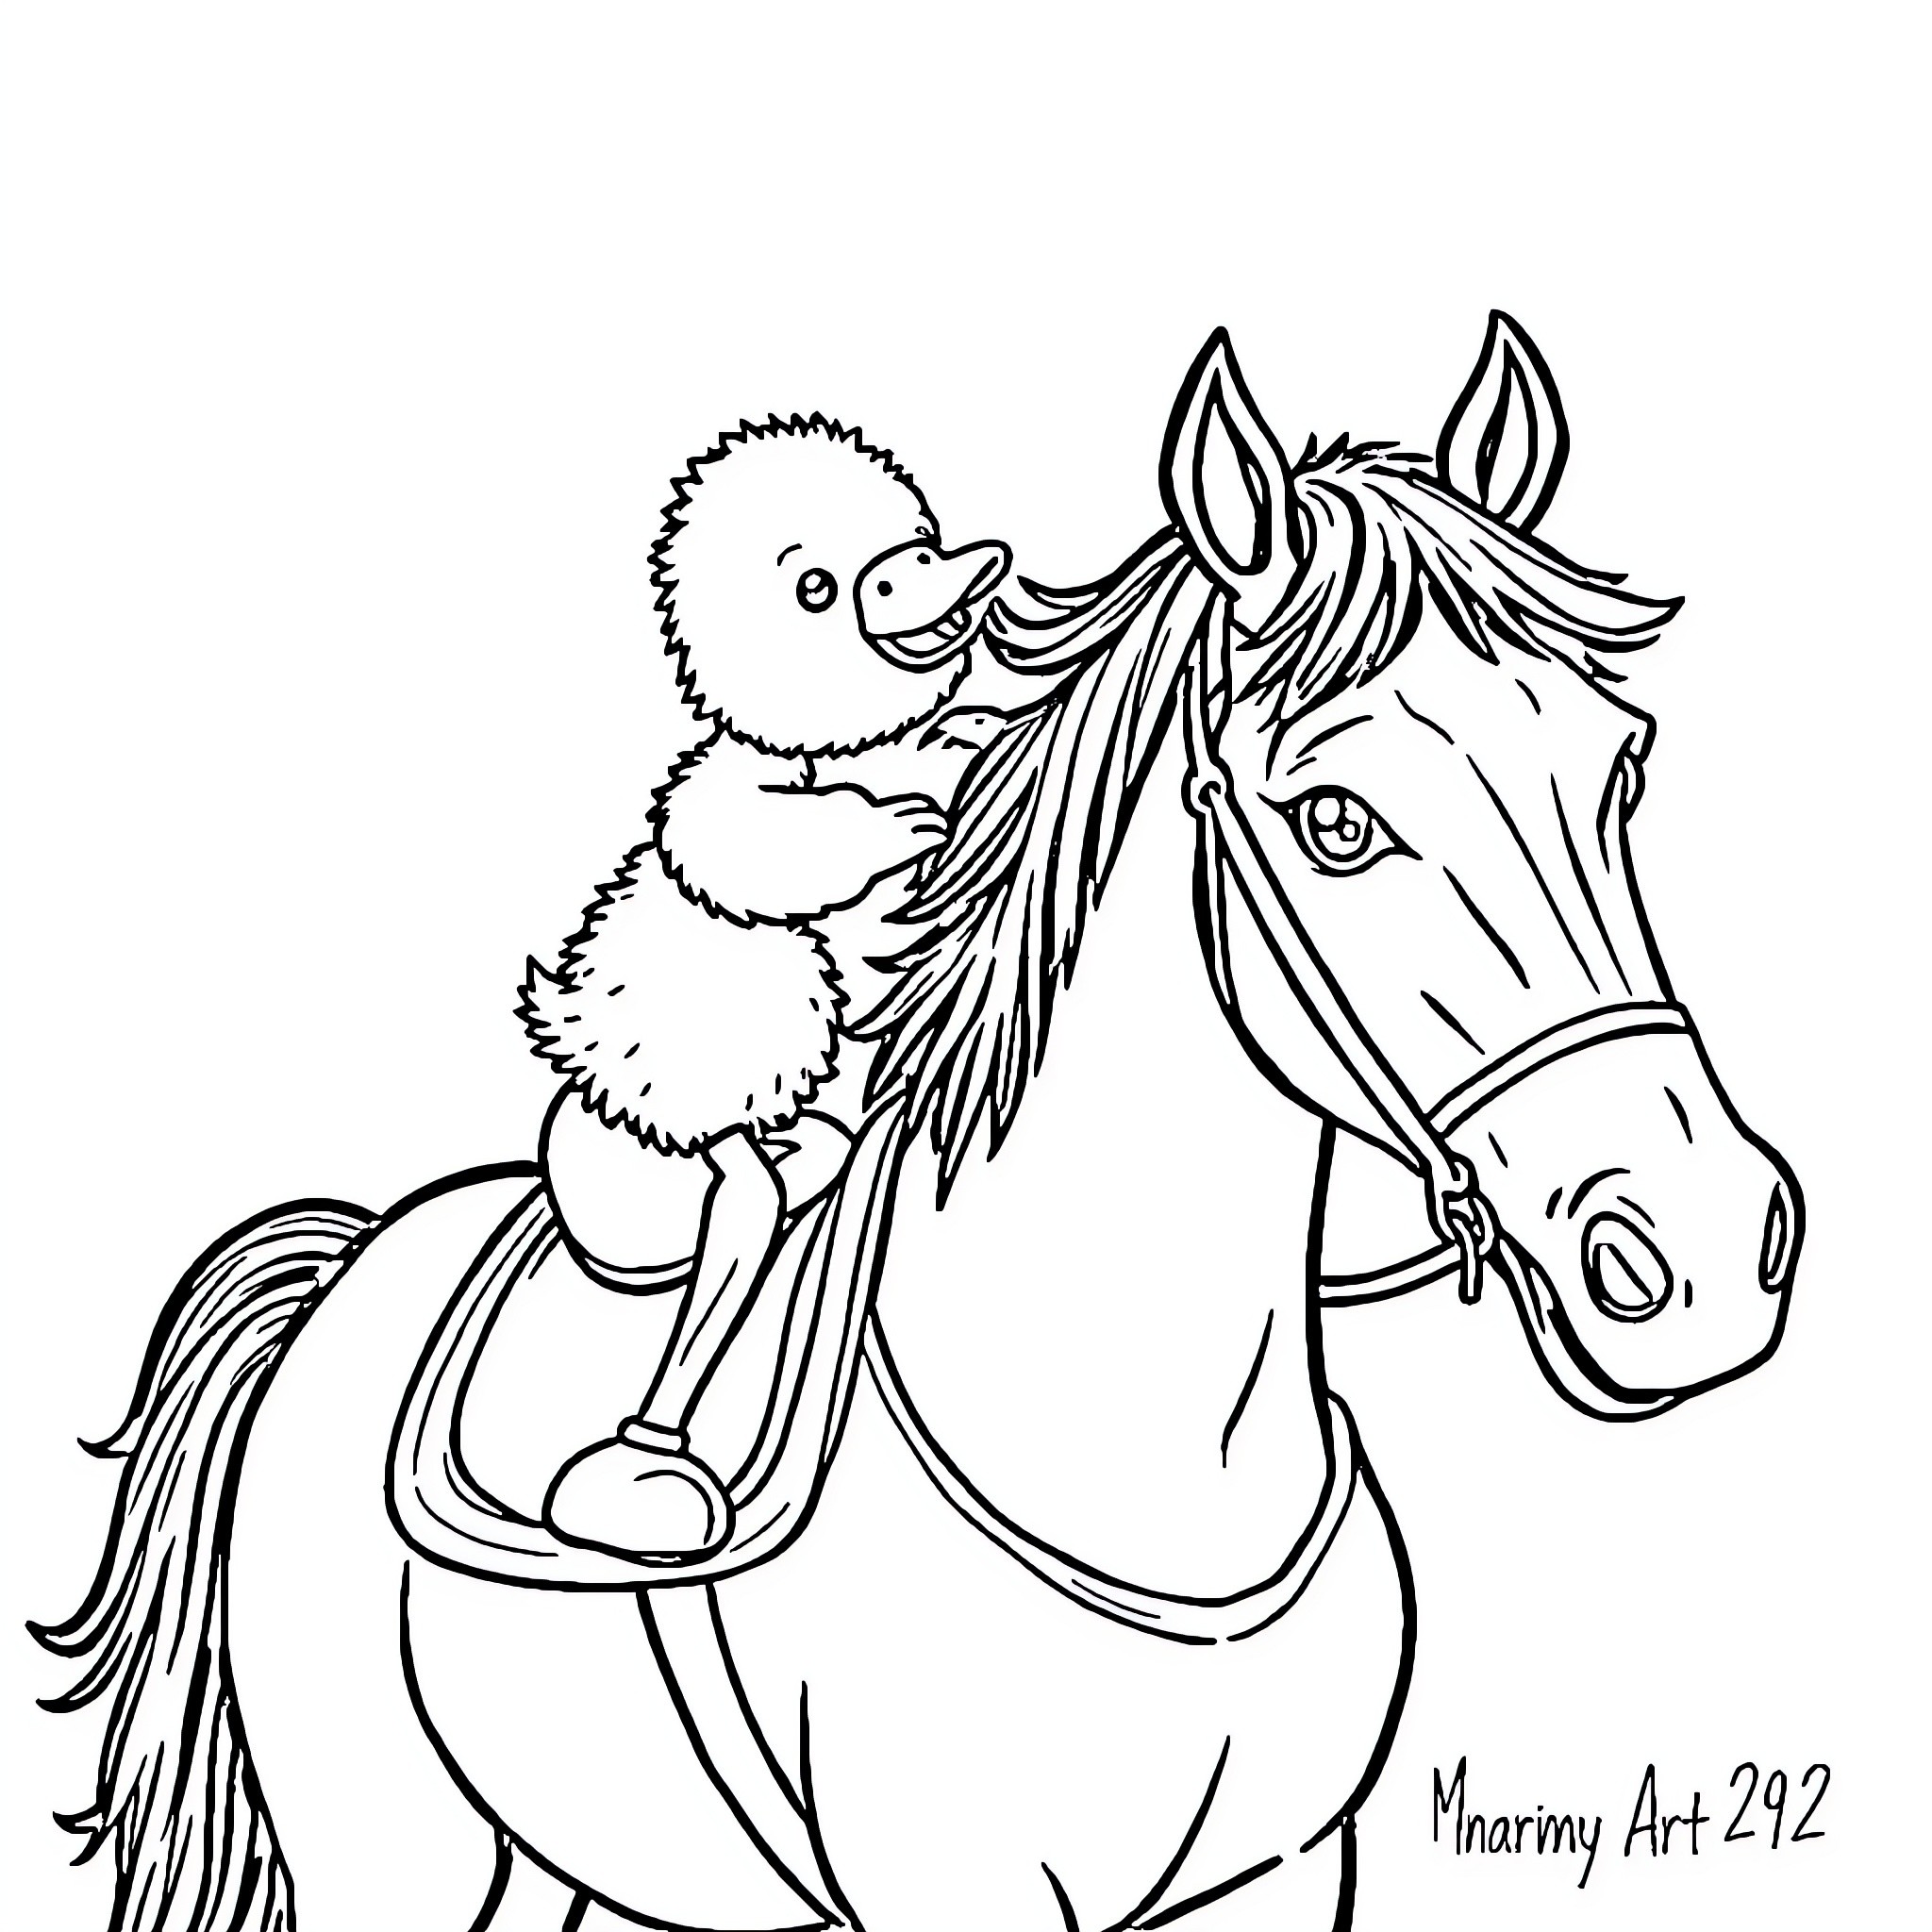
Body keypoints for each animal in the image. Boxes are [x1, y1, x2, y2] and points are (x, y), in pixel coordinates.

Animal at [39, 316, 1802, 1932]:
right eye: (1338, 822)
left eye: (1621, 768)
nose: (1701, 1250)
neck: (1149, 1463)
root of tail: (359, 1263)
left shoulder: (1290, 1876)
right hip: (398, 1858)